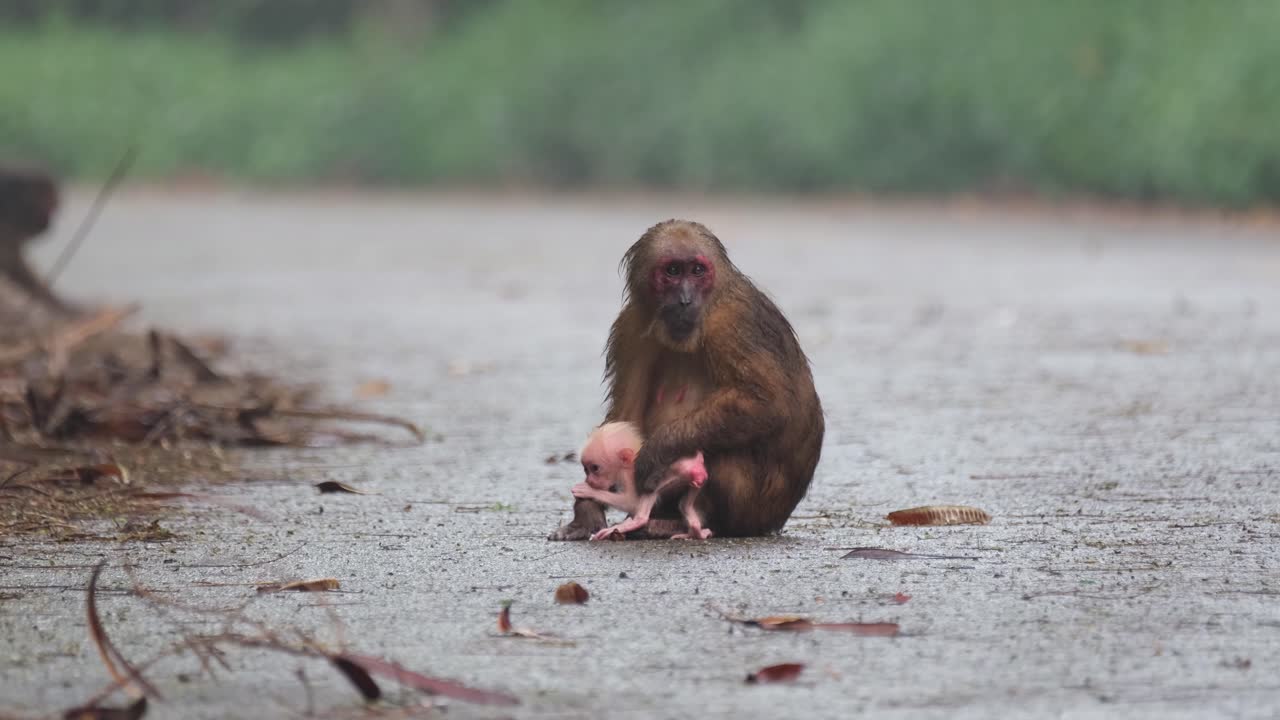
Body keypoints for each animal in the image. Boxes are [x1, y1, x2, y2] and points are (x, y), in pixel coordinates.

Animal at [569, 421, 713, 541]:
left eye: (595, 468)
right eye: (586, 469)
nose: (589, 480)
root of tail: (694, 466)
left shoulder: (629, 476)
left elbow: (632, 502)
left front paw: (589, 491)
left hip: (659, 476)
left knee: (643, 511)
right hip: (695, 481)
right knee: (685, 505)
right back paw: (696, 531)